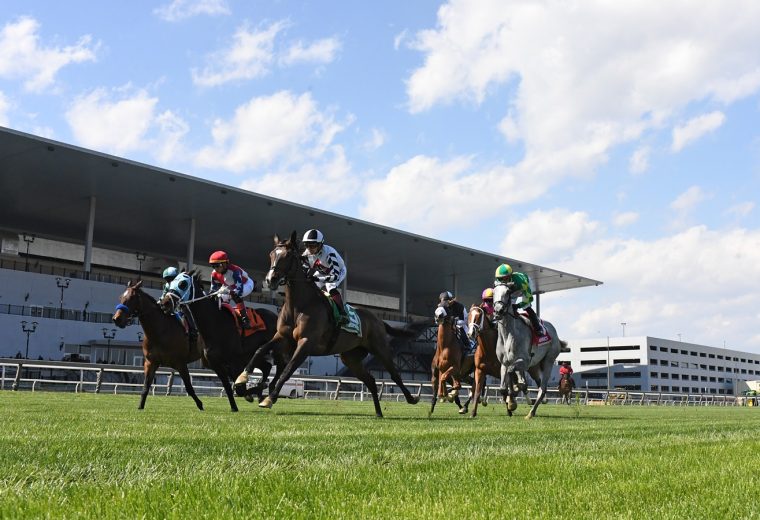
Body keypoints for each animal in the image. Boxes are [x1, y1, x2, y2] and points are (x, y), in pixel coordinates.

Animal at [110, 280, 205, 410]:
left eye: (132, 298)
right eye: (121, 297)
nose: (117, 319)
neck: (160, 330)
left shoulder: (181, 363)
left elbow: (189, 388)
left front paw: (200, 405)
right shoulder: (151, 362)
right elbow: (145, 387)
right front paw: (140, 407)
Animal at [235, 232, 418, 418]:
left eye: (287, 256)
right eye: (271, 254)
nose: (270, 279)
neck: (299, 305)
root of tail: (378, 320)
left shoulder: (306, 343)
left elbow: (287, 370)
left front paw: (269, 398)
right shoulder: (282, 336)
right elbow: (260, 349)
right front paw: (242, 378)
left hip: (380, 348)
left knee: (395, 374)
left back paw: (412, 398)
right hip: (350, 358)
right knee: (371, 380)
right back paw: (379, 413)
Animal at [492, 282, 564, 420]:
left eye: (508, 292)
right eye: (493, 292)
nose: (498, 310)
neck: (508, 334)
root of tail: (554, 331)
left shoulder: (524, 361)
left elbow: (514, 376)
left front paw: (512, 401)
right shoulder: (504, 363)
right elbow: (504, 387)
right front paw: (510, 402)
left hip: (548, 360)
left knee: (542, 388)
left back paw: (531, 413)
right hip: (534, 366)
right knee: (532, 382)